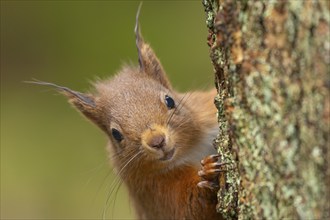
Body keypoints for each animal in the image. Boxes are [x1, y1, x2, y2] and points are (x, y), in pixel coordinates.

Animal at [29, 5, 224, 220]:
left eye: (170, 100)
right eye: (116, 134)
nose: (157, 141)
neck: (189, 151)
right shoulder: (151, 190)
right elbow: (187, 209)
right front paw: (208, 175)